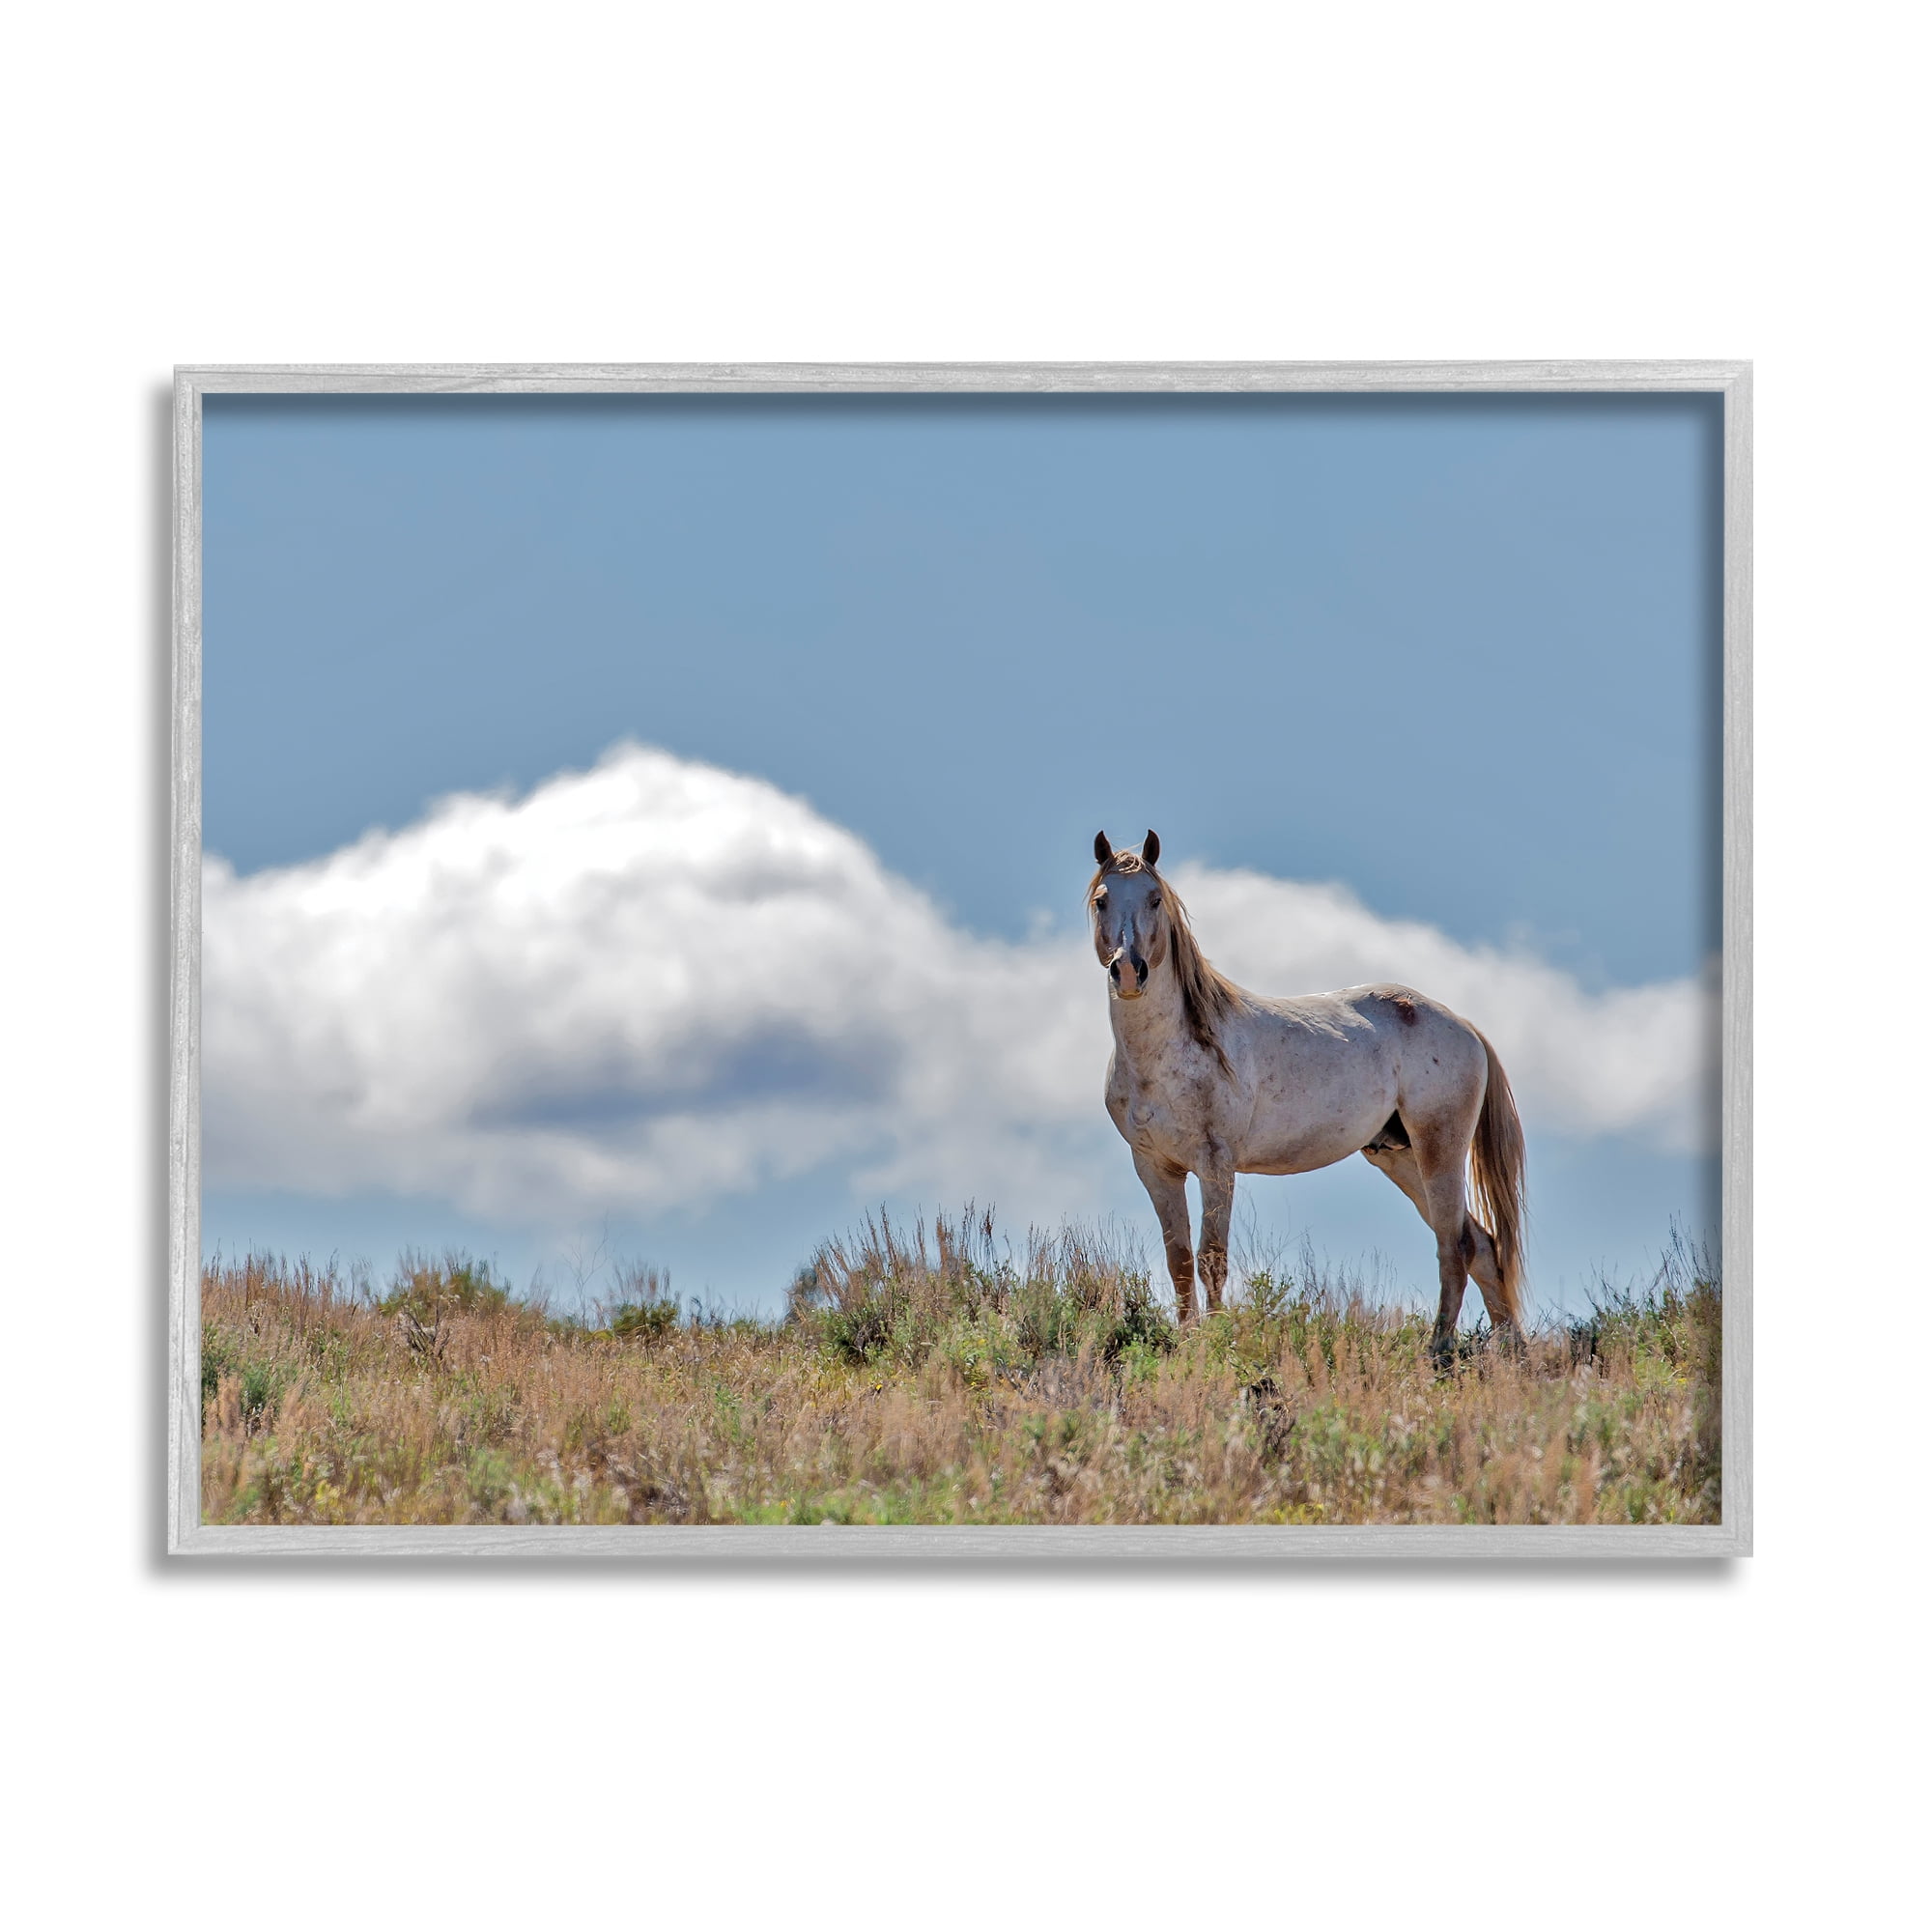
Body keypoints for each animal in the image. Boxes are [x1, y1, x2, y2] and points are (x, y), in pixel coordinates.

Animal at [1089, 830, 1527, 1364]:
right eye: (1102, 900)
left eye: (1154, 899)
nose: (1129, 973)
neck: (1167, 1054)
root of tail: (1463, 1025)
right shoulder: (1155, 1167)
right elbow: (1180, 1258)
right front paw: (1188, 1339)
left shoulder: (1216, 1165)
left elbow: (1212, 1257)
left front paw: (1215, 1339)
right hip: (1398, 1157)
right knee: (1481, 1245)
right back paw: (1509, 1352)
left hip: (1438, 1150)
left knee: (1455, 1245)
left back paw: (1438, 1348)